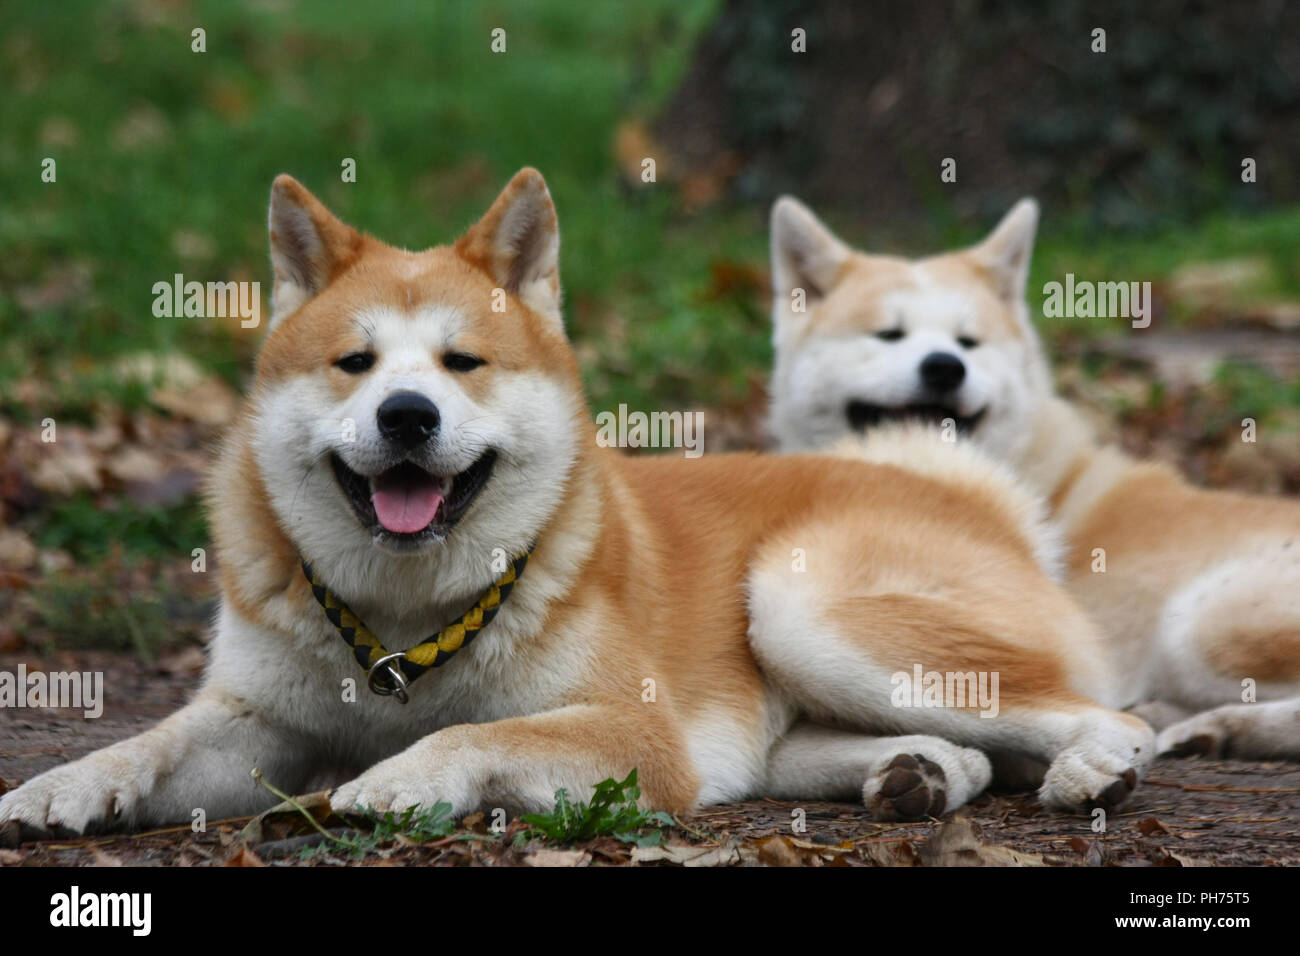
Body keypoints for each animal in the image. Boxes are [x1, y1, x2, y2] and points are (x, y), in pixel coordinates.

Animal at [2, 171, 1159, 837]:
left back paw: (1092, 769)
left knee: (1114, 713)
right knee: (970, 748)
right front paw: (66, 784)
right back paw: (922, 773)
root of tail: (972, 494)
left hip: (803, 611)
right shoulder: (254, 719)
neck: (405, 618)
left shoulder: (638, 733)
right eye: (354, 364)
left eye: (462, 362)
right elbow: (149, 744)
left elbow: (480, 734)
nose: (408, 414)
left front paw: (405, 774)